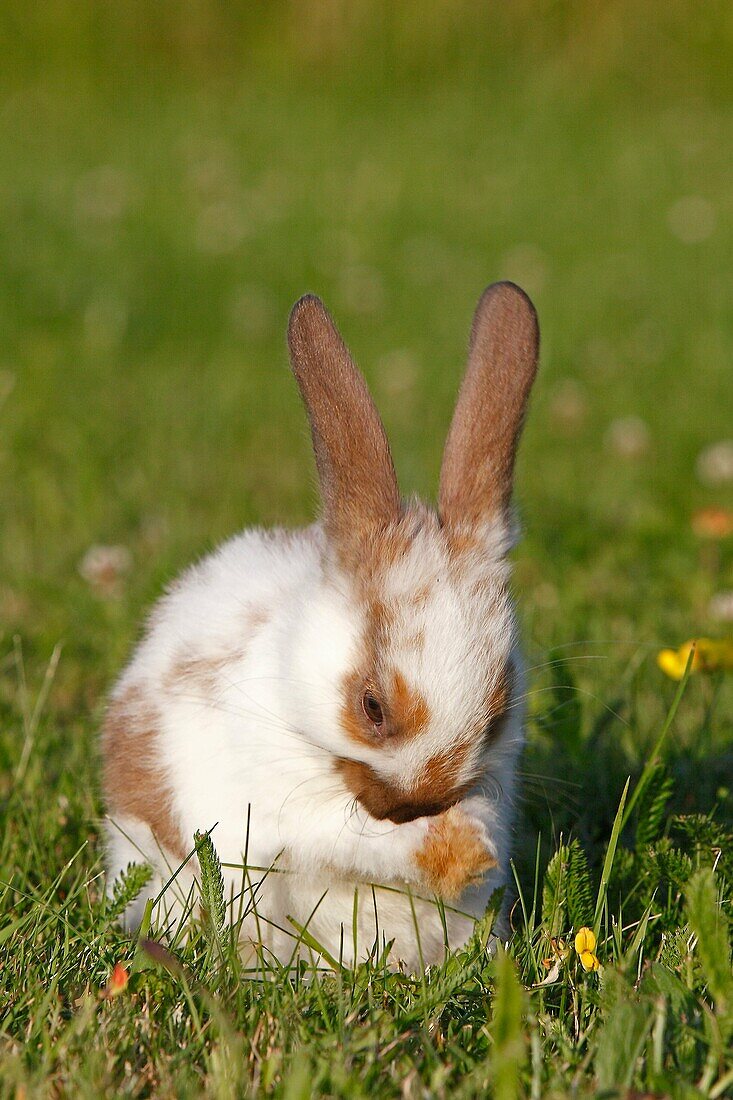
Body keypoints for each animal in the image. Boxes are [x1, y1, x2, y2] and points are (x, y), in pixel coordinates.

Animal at [102, 279, 537, 968]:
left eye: (498, 714)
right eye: (371, 707)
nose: (418, 804)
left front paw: (471, 845)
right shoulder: (282, 807)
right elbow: (343, 838)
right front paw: (445, 848)